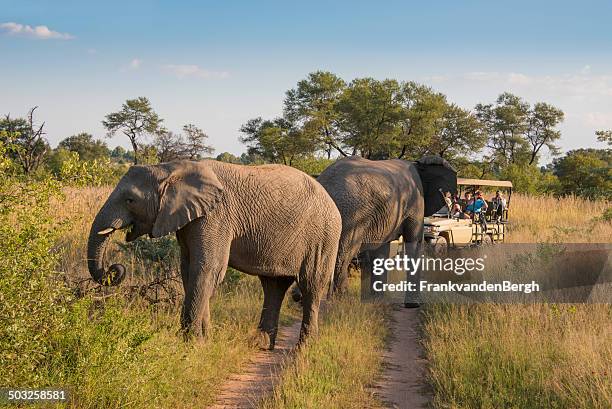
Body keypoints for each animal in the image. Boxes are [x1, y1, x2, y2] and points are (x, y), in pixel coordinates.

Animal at [88, 159, 342, 348]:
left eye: (130, 200)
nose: (115, 268)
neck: (171, 168)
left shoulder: (215, 217)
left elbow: (207, 269)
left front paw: (189, 344)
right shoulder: (191, 219)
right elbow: (190, 270)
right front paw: (204, 341)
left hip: (323, 238)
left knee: (311, 285)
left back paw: (303, 348)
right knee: (274, 286)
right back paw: (259, 344)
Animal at [294, 155, 456, 304]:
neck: (418, 163)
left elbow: (381, 251)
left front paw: (376, 300)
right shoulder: (415, 201)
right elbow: (414, 242)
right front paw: (413, 304)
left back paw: (302, 297)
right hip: (352, 215)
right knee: (345, 254)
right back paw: (340, 300)